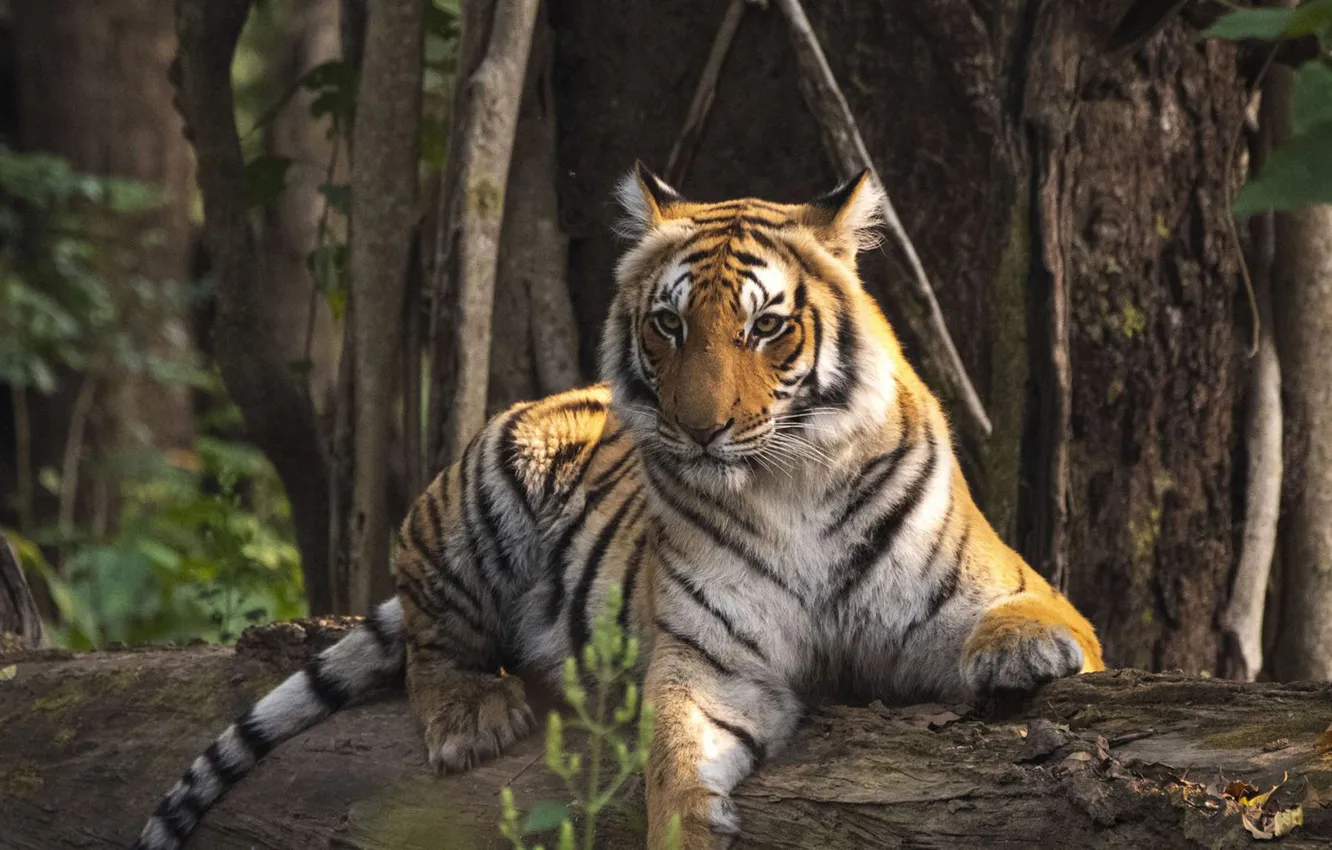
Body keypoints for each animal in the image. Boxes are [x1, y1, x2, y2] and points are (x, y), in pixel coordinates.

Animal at [133, 165, 1103, 850]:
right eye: (668, 324)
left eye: (766, 326)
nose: (701, 429)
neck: (791, 482)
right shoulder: (712, 661)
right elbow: (675, 760)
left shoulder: (1004, 581)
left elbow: (1044, 616)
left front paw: (1025, 653)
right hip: (488, 476)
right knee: (426, 620)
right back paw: (471, 716)